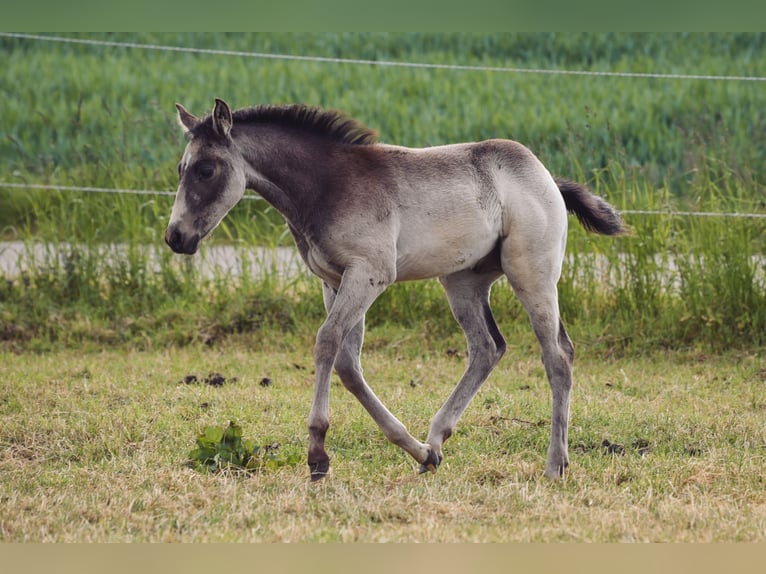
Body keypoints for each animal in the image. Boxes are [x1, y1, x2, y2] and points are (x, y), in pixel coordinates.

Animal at [165, 98, 625, 481]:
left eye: (206, 170)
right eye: (180, 169)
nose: (176, 237)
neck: (329, 184)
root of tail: (545, 176)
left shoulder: (370, 273)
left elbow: (327, 342)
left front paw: (317, 455)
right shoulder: (335, 281)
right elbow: (348, 364)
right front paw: (417, 451)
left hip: (532, 273)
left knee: (557, 355)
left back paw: (555, 465)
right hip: (463, 281)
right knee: (487, 347)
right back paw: (436, 441)